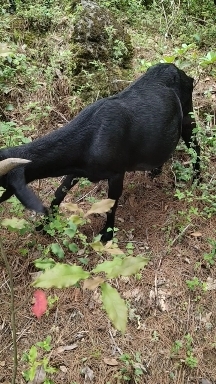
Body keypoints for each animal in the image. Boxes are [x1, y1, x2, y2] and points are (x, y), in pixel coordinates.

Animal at [0, 64, 199, 242]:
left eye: (1, 181)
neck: (92, 137)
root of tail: (181, 72)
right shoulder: (77, 168)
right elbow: (59, 193)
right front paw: (44, 225)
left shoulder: (117, 172)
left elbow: (111, 203)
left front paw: (107, 235)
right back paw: (156, 170)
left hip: (188, 115)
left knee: (196, 145)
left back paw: (197, 179)